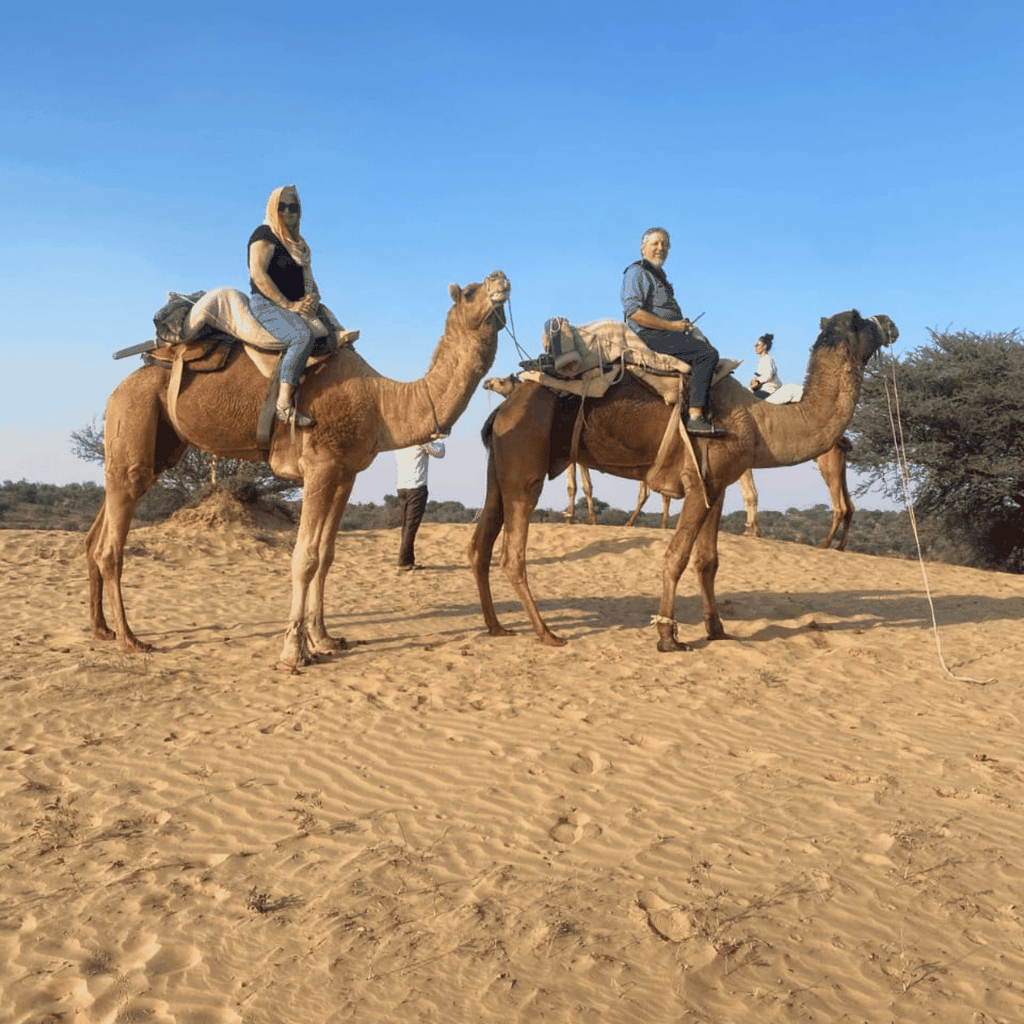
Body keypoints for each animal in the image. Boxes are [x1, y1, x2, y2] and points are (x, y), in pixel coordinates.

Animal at [87, 271, 511, 666]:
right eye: (470, 292)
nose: (501, 279)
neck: (380, 402)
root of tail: (124, 383)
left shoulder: (345, 473)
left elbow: (326, 555)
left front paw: (324, 638)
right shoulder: (320, 466)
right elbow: (304, 558)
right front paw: (294, 650)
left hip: (157, 443)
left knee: (107, 516)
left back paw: (102, 630)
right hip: (136, 410)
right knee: (112, 542)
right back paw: (130, 639)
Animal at [624, 437, 855, 549]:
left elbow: (750, 494)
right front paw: (754, 530)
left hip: (827, 460)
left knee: (840, 505)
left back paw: (826, 543)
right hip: (839, 463)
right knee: (850, 505)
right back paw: (840, 546)